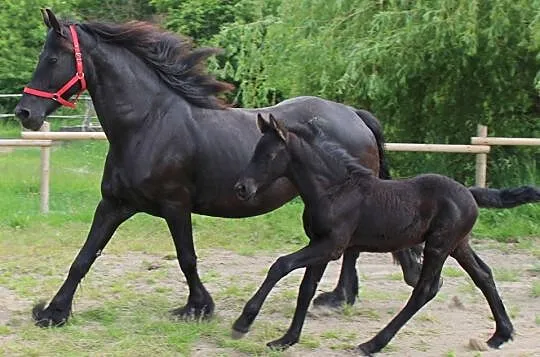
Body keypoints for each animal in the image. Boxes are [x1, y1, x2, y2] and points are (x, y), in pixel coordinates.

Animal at [232, 113, 520, 354]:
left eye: (269, 155)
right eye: (255, 151)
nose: (242, 188)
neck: (334, 190)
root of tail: (470, 194)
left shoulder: (331, 247)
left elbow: (280, 265)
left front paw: (243, 322)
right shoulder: (319, 244)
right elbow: (306, 289)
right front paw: (286, 340)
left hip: (438, 246)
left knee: (425, 290)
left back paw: (372, 344)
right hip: (458, 244)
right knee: (484, 275)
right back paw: (500, 335)